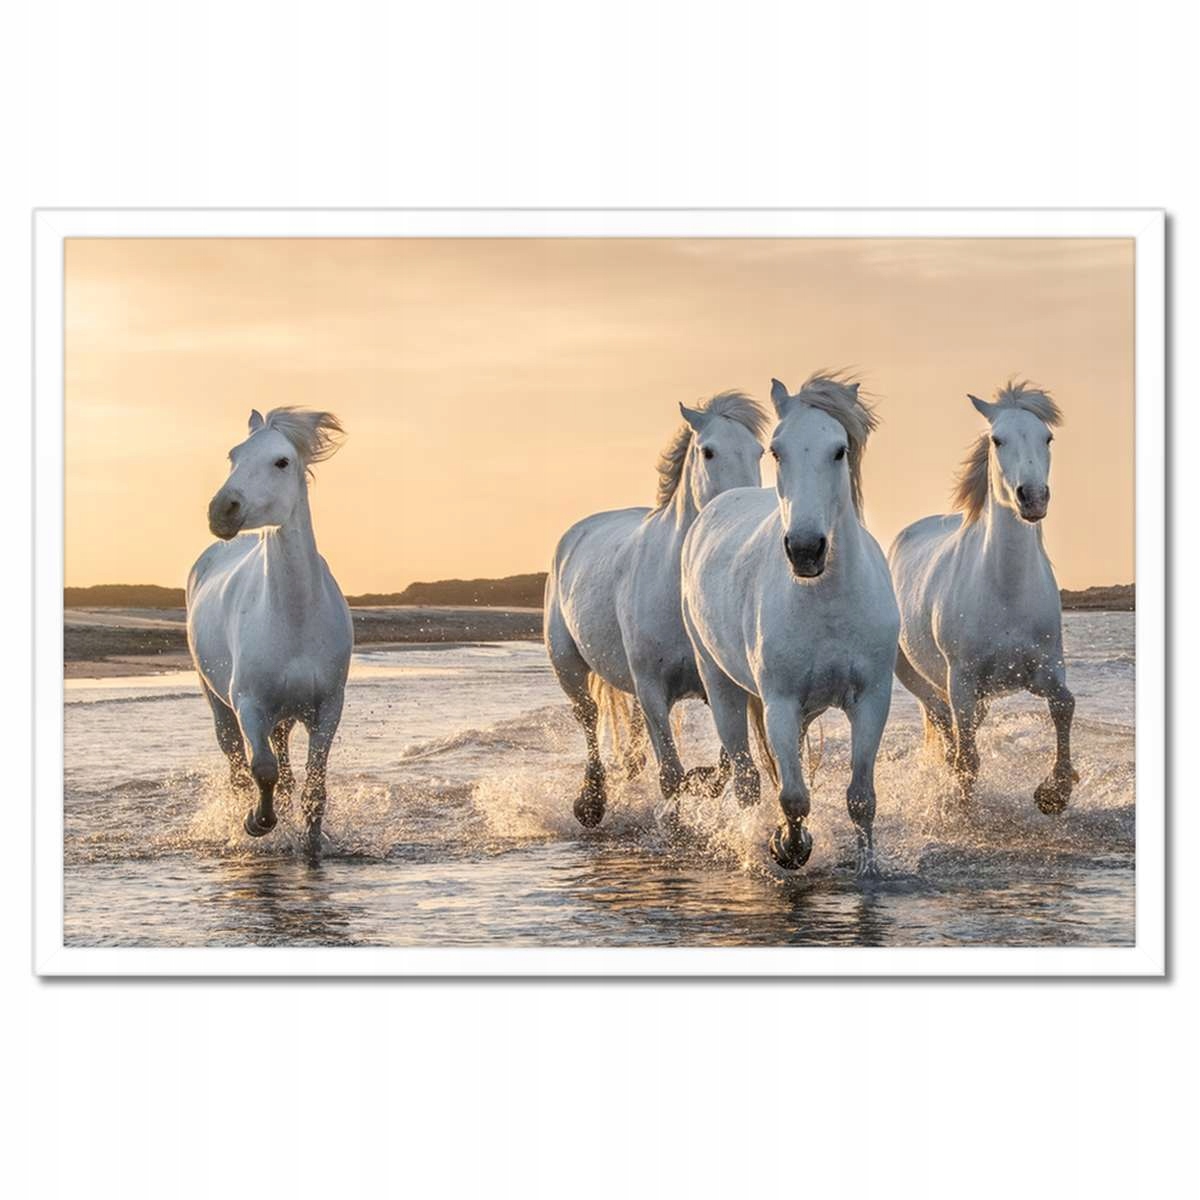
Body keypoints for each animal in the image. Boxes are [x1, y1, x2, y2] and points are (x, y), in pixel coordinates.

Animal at [186, 407, 354, 860]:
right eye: (234, 455)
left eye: (281, 461)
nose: (221, 511)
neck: (294, 619)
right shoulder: (249, 704)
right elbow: (262, 769)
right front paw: (257, 823)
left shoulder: (327, 707)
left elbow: (313, 786)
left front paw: (311, 844)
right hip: (219, 702)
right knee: (237, 764)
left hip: (285, 715)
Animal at [544, 390, 770, 827]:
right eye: (708, 451)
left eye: (759, 451)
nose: (741, 508)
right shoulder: (653, 689)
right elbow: (670, 774)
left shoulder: (718, 684)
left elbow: (723, 765)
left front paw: (700, 783)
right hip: (568, 665)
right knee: (588, 717)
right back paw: (591, 803)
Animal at [681, 375, 899, 876]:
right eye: (777, 451)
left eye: (839, 450)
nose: (804, 549)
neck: (827, 602)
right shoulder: (779, 702)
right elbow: (794, 796)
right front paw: (789, 847)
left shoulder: (871, 699)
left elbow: (861, 798)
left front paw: (868, 870)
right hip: (720, 685)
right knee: (746, 777)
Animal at [888, 381, 1076, 813]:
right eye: (997, 439)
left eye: (1047, 437)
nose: (1032, 498)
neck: (1006, 591)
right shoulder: (962, 680)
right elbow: (967, 758)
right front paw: (963, 808)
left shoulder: (1046, 669)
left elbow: (1065, 705)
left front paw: (1055, 792)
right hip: (918, 676)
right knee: (944, 723)